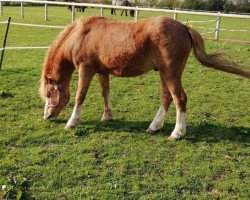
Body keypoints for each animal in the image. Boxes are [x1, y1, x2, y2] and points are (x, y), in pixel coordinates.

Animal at [39, 16, 250, 140]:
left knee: (179, 98)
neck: (81, 35)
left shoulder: (86, 69)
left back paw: (177, 133)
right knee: (167, 97)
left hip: (170, 73)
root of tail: (184, 27)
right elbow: (105, 92)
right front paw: (107, 116)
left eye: (49, 94)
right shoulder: (102, 71)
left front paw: (72, 122)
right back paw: (154, 126)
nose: (46, 116)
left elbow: (80, 96)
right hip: (165, 73)